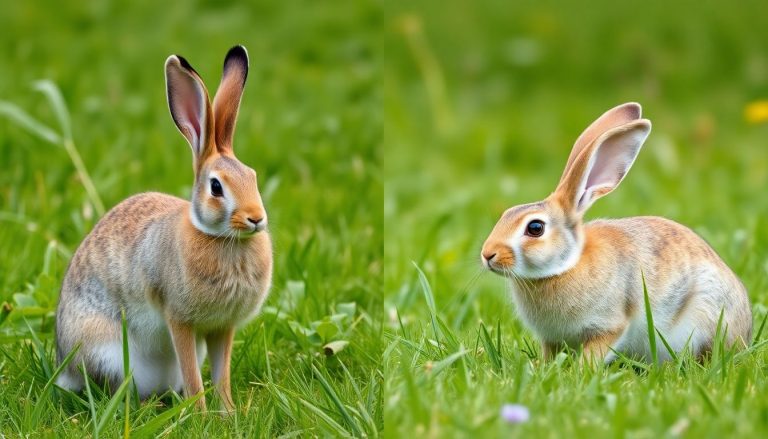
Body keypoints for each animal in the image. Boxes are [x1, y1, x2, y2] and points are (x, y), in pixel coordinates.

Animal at [55, 45, 272, 412]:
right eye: (216, 187)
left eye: (252, 176)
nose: (256, 218)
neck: (221, 238)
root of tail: (64, 367)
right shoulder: (179, 320)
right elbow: (194, 375)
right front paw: (202, 414)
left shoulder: (222, 327)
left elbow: (222, 374)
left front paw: (228, 413)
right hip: (108, 352)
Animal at [481, 102, 752, 363]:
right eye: (506, 213)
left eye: (535, 228)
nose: (487, 255)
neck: (566, 265)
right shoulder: (552, 339)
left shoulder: (610, 326)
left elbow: (594, 353)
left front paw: (581, 371)